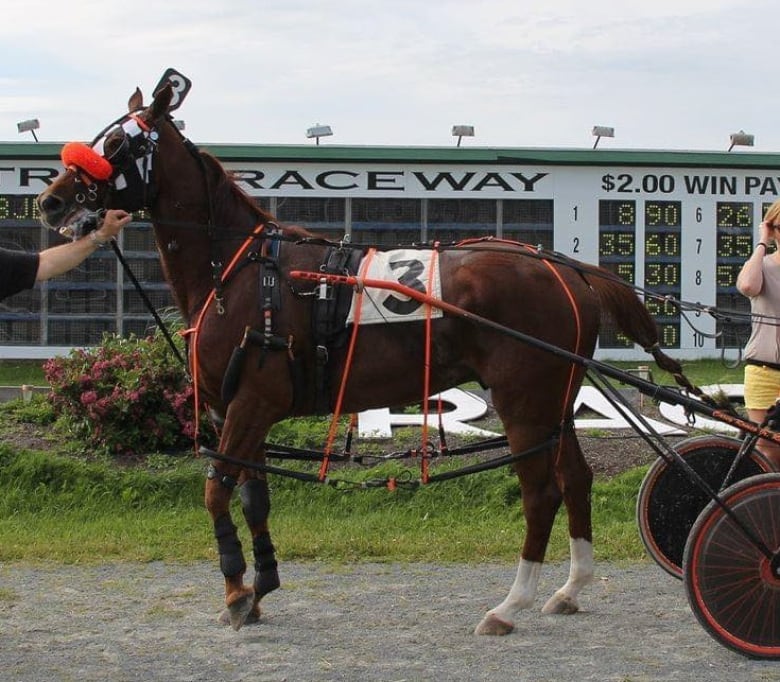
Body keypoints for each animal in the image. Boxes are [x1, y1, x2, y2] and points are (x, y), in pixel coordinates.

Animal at [35, 83, 696, 632]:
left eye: (116, 142)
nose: (50, 200)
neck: (244, 274)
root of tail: (568, 269)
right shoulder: (244, 410)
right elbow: (252, 496)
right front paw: (260, 586)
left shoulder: (250, 403)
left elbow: (216, 493)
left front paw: (235, 595)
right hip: (556, 399)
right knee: (577, 478)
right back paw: (569, 589)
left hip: (524, 400)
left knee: (542, 493)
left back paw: (510, 605)